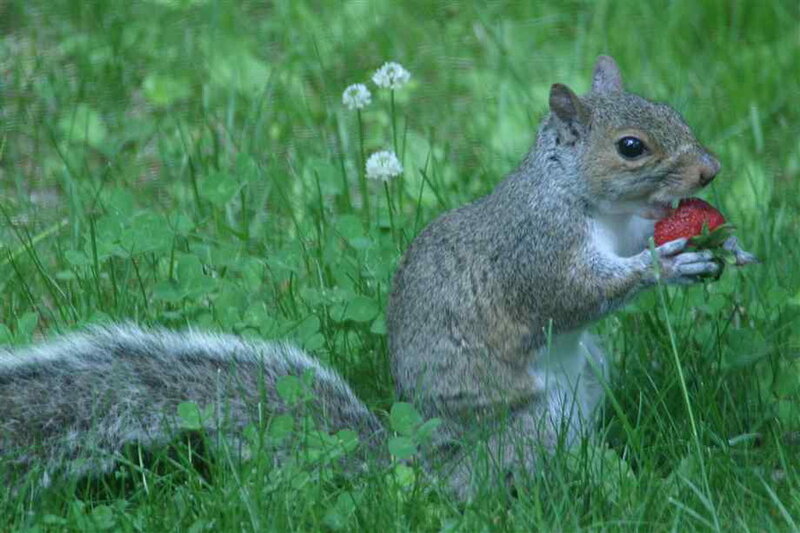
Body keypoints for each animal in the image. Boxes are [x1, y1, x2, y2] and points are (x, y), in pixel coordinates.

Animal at [0, 56, 756, 496]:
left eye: (676, 113)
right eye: (631, 147)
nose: (710, 170)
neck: (580, 197)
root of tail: (422, 463)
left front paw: (720, 243)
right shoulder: (533, 250)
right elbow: (577, 294)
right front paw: (667, 262)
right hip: (525, 430)